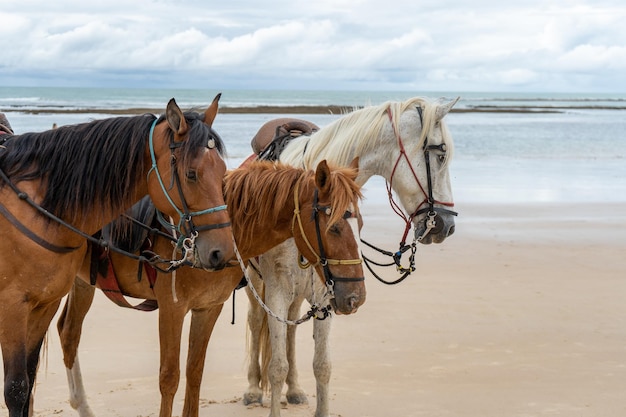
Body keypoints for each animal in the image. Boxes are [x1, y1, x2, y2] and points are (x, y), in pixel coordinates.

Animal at [0, 95, 234, 416]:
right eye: (191, 174)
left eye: (223, 172)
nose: (222, 252)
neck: (37, 207)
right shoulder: (13, 307)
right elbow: (17, 390)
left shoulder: (44, 304)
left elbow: (29, 377)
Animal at [245, 96, 458, 416]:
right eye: (441, 157)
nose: (448, 225)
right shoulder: (277, 291)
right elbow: (276, 366)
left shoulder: (326, 294)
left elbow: (322, 366)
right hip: (257, 284)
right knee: (255, 321)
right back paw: (252, 389)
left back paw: (294, 390)